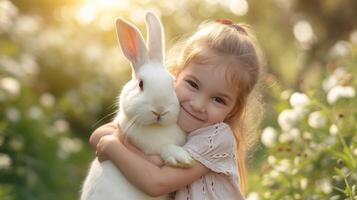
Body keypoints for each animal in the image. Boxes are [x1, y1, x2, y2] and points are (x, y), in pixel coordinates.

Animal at [80, 12, 192, 200]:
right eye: (141, 84)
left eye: (172, 83)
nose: (159, 110)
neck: (157, 127)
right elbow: (163, 147)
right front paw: (181, 158)